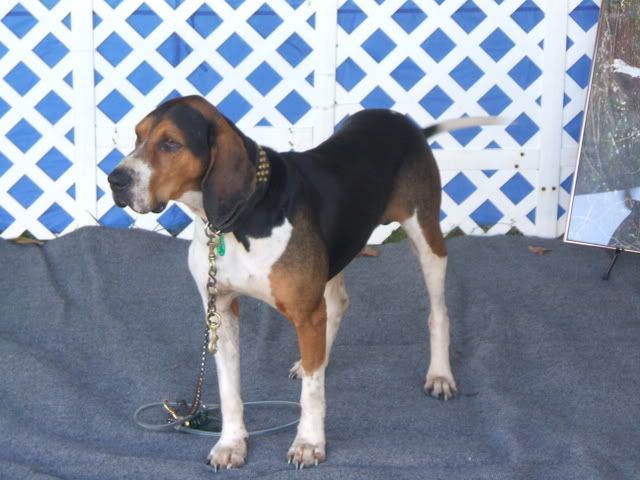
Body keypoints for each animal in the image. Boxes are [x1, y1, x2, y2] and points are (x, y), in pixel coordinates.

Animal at [108, 95, 499, 469]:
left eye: (170, 143)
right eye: (137, 136)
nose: (115, 179)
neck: (240, 219)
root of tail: (407, 124)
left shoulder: (305, 313)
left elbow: (312, 394)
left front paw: (309, 443)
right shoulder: (221, 311)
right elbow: (229, 389)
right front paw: (231, 444)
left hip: (426, 238)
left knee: (438, 312)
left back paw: (440, 375)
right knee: (338, 304)